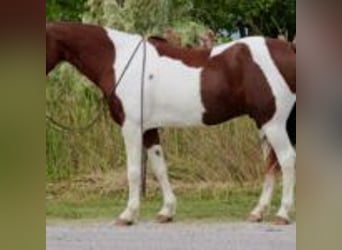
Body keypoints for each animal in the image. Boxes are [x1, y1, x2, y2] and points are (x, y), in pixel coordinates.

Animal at [46, 21, 296, 225]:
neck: (118, 59)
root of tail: (289, 49)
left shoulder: (131, 127)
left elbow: (134, 171)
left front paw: (128, 215)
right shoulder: (148, 129)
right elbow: (159, 168)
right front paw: (166, 211)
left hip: (274, 123)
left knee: (286, 159)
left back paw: (283, 214)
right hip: (263, 124)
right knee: (271, 164)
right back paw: (258, 212)